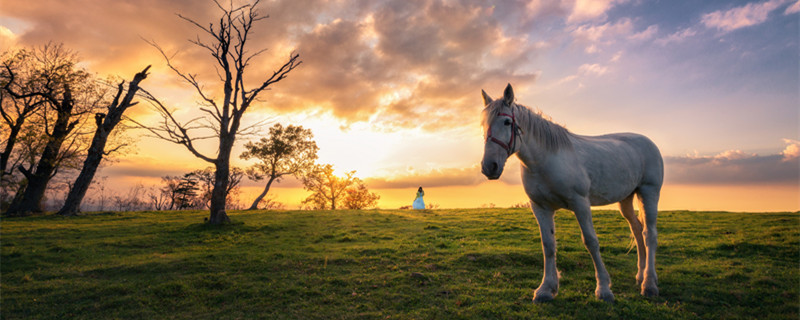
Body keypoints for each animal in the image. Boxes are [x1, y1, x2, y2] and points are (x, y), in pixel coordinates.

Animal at [482, 84, 664, 302]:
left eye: (507, 122)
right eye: (483, 124)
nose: (489, 166)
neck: (546, 160)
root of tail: (648, 142)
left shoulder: (580, 204)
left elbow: (591, 242)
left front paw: (603, 289)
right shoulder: (540, 207)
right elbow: (548, 245)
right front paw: (546, 289)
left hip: (649, 192)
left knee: (649, 234)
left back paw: (649, 284)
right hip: (626, 199)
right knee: (637, 229)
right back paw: (641, 275)